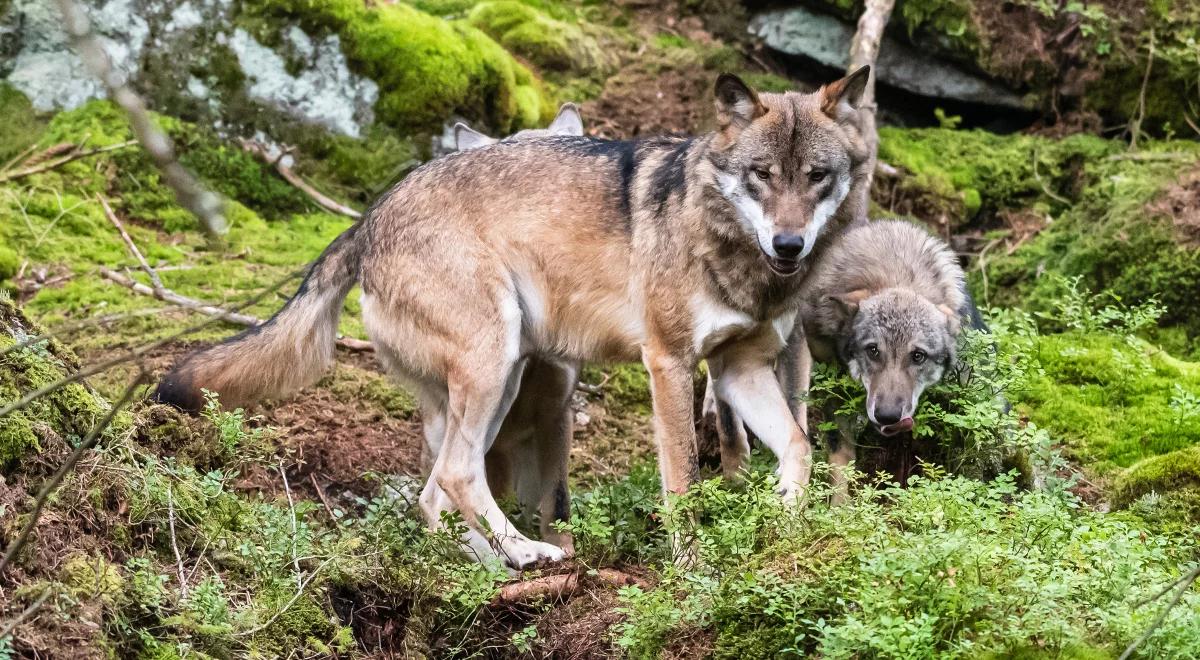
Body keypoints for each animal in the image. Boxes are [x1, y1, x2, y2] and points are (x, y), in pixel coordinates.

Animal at [705, 219, 969, 504]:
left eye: (918, 356)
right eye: (873, 350)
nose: (887, 416)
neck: (897, 270)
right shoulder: (826, 373)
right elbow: (838, 451)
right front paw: (838, 508)